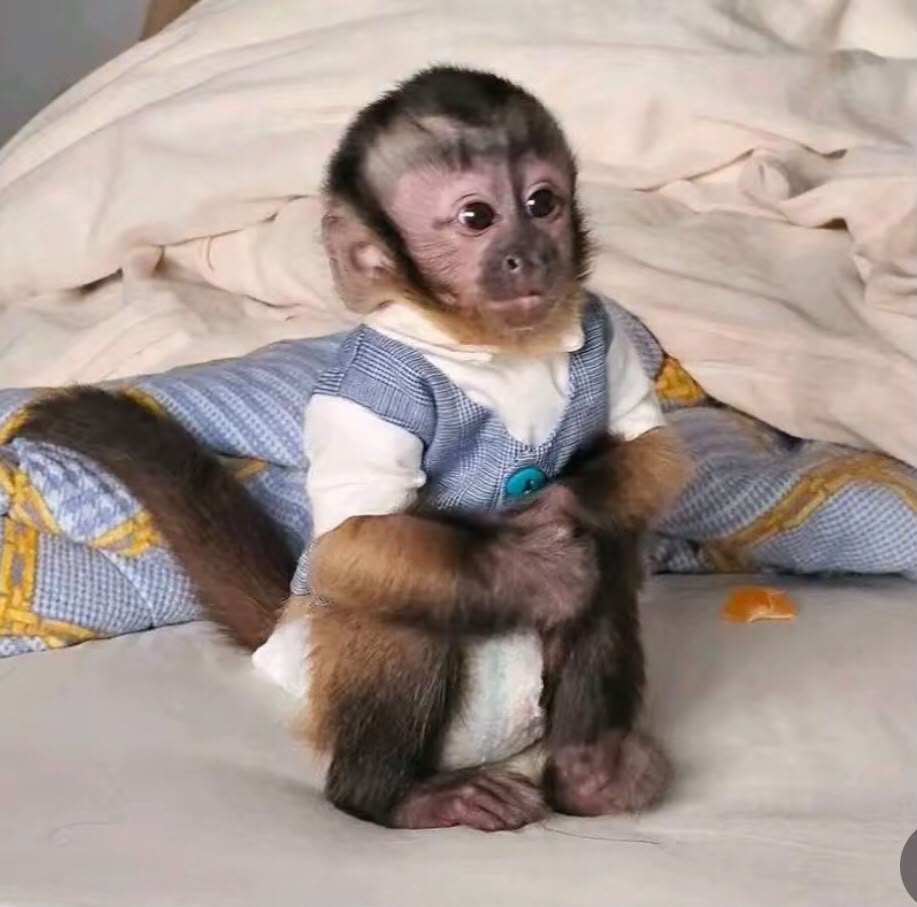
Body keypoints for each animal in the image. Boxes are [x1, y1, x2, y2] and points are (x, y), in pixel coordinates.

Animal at [15, 65, 691, 831]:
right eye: (477, 217)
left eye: (541, 202)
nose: (530, 254)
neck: (492, 348)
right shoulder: (365, 385)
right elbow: (351, 544)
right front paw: (535, 563)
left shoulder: (597, 321)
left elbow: (653, 456)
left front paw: (558, 506)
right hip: (330, 683)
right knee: (392, 604)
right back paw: (392, 795)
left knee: (609, 548)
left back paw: (586, 770)